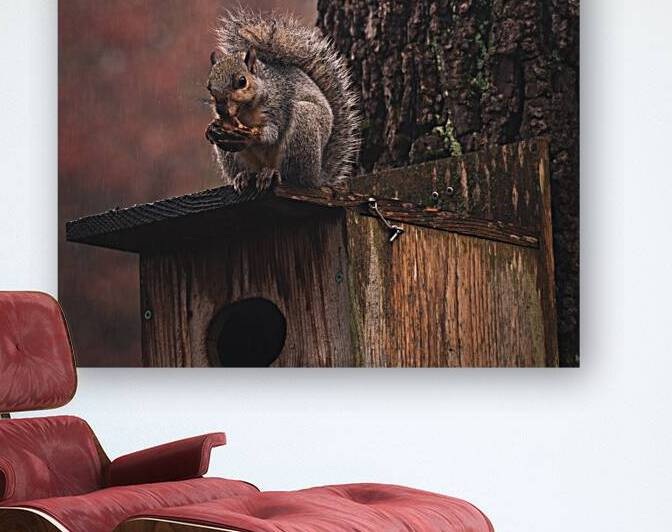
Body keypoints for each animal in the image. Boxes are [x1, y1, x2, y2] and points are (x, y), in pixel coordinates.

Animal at [205, 8, 360, 192]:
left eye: (242, 81)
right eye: (209, 87)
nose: (221, 109)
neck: (245, 111)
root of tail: (317, 177)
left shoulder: (278, 106)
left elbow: (272, 133)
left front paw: (253, 135)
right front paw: (211, 128)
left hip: (303, 127)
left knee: (293, 176)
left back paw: (272, 174)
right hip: (232, 158)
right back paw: (243, 176)